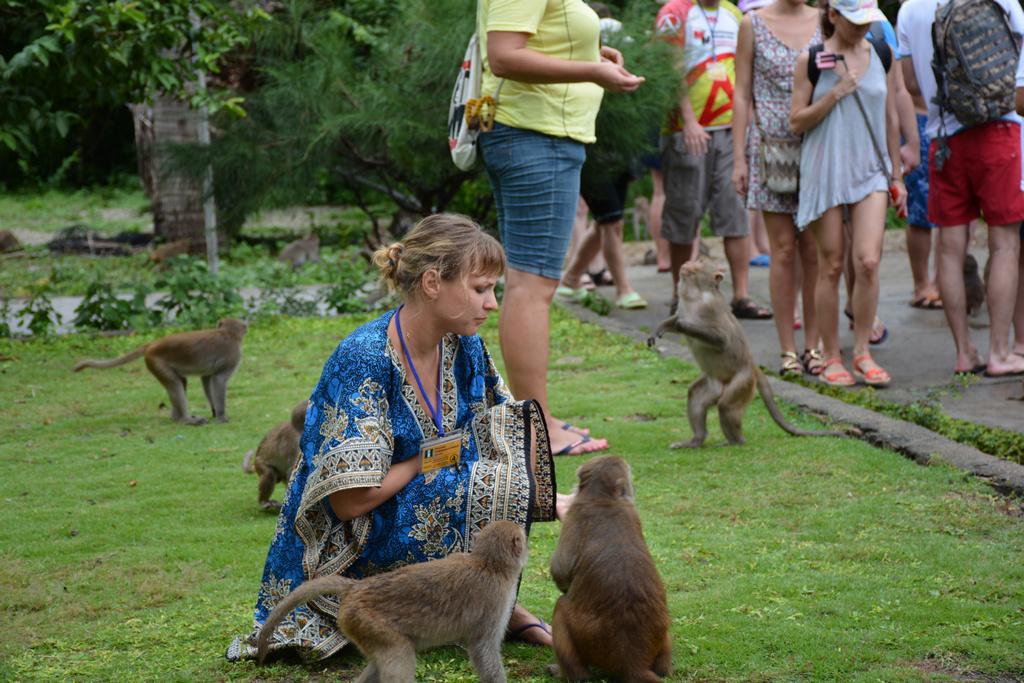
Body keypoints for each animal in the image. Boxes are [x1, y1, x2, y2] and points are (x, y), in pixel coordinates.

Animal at [71, 318, 247, 425]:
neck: (229, 333)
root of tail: (151, 344)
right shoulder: (234, 356)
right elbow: (219, 379)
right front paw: (221, 416)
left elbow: (207, 378)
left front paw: (214, 410)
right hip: (156, 362)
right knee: (175, 384)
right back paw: (184, 419)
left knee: (180, 382)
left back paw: (177, 417)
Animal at [255, 520, 528, 683]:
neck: (489, 563)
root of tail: (356, 587)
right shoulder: (495, 601)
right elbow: (483, 649)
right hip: (367, 621)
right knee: (400, 653)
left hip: (360, 626)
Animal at [546, 455, 672, 683]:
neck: (603, 498)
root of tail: (633, 662)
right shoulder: (632, 511)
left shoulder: (574, 514)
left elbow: (561, 570)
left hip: (587, 639)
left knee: (561, 606)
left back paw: (569, 673)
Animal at [647, 259, 848, 447]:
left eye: (700, 261)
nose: (688, 262)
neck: (696, 295)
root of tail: (752, 365)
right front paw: (661, 327)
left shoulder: (712, 308)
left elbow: (722, 339)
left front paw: (684, 325)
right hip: (714, 385)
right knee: (695, 396)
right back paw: (696, 440)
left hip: (743, 381)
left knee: (726, 405)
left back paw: (735, 442)